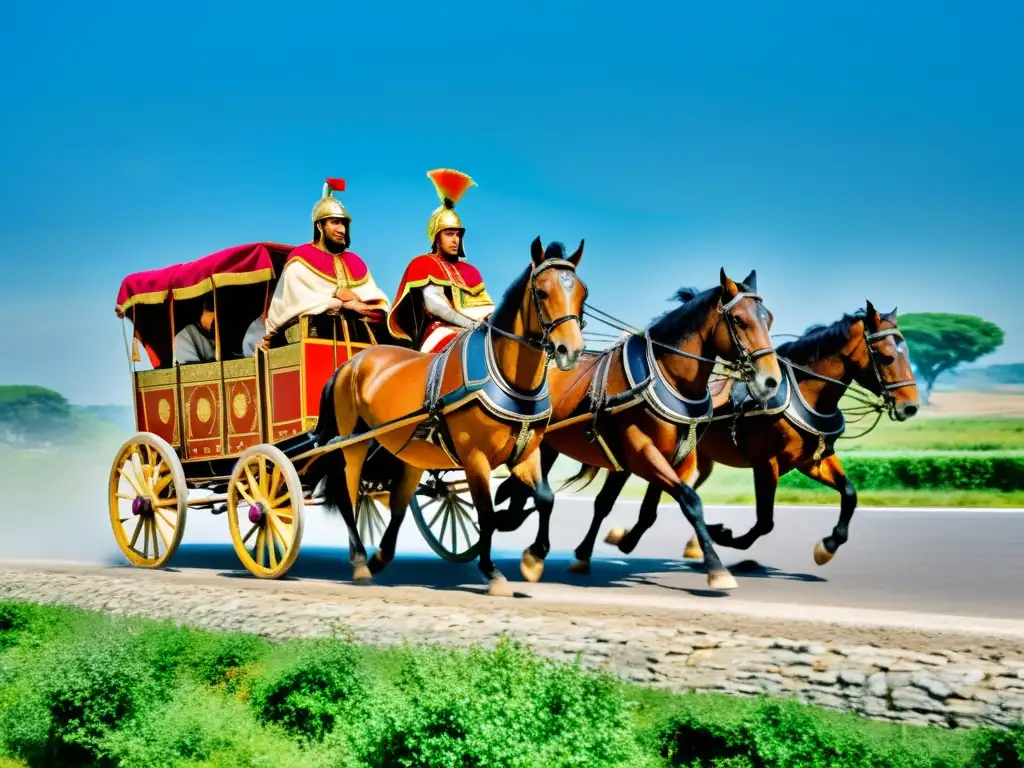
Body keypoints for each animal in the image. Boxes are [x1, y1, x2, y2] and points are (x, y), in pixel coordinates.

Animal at [307, 237, 589, 598]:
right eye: (541, 292)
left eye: (582, 292)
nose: (571, 350)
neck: (507, 377)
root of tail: (349, 364)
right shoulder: (475, 458)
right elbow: (486, 514)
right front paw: (493, 572)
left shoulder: (526, 454)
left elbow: (545, 498)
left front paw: (534, 558)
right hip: (352, 445)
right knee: (348, 496)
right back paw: (359, 563)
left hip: (410, 455)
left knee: (397, 504)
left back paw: (380, 558)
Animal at [491, 268, 778, 593]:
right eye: (740, 320)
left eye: (768, 319)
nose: (771, 381)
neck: (664, 376)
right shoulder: (643, 455)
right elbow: (691, 501)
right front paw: (717, 568)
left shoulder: (676, 459)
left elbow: (643, 508)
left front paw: (611, 544)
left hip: (546, 446)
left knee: (531, 487)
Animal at [577, 301, 921, 573]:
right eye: (887, 357)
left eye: (907, 354)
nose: (911, 406)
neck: (802, 393)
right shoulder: (766, 463)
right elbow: (765, 521)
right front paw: (725, 536)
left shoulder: (811, 460)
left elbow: (850, 494)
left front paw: (828, 546)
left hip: (695, 459)